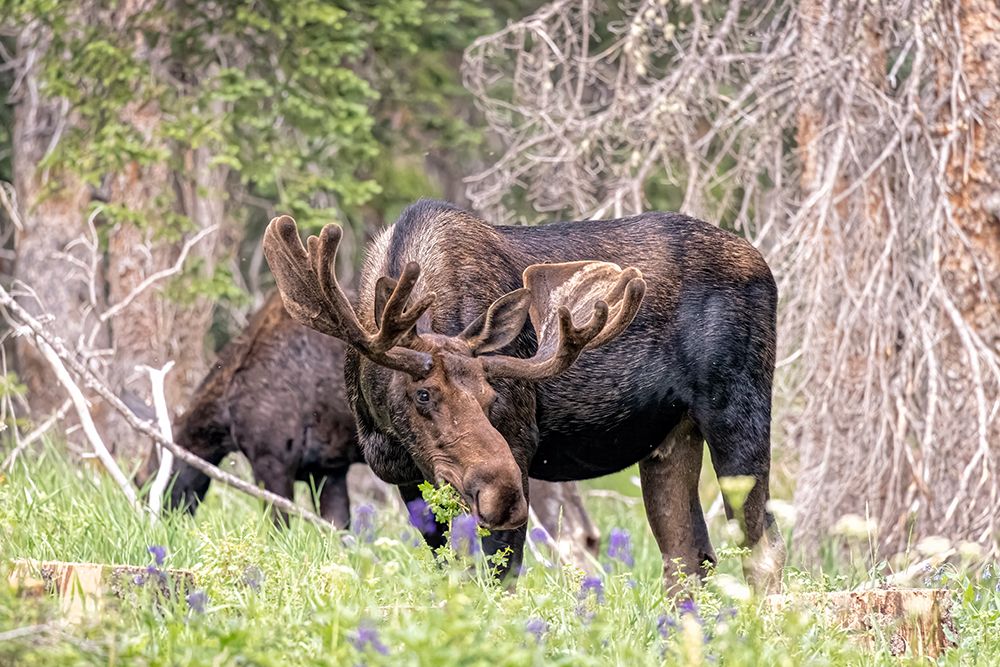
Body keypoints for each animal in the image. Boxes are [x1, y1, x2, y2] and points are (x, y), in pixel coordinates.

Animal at [264, 199, 786, 592]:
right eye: (423, 395)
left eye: (491, 396)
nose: (504, 495)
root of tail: (765, 266)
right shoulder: (405, 476)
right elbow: (452, 571)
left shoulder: (518, 442)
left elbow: (503, 577)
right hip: (670, 439)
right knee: (688, 557)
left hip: (739, 411)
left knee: (763, 548)